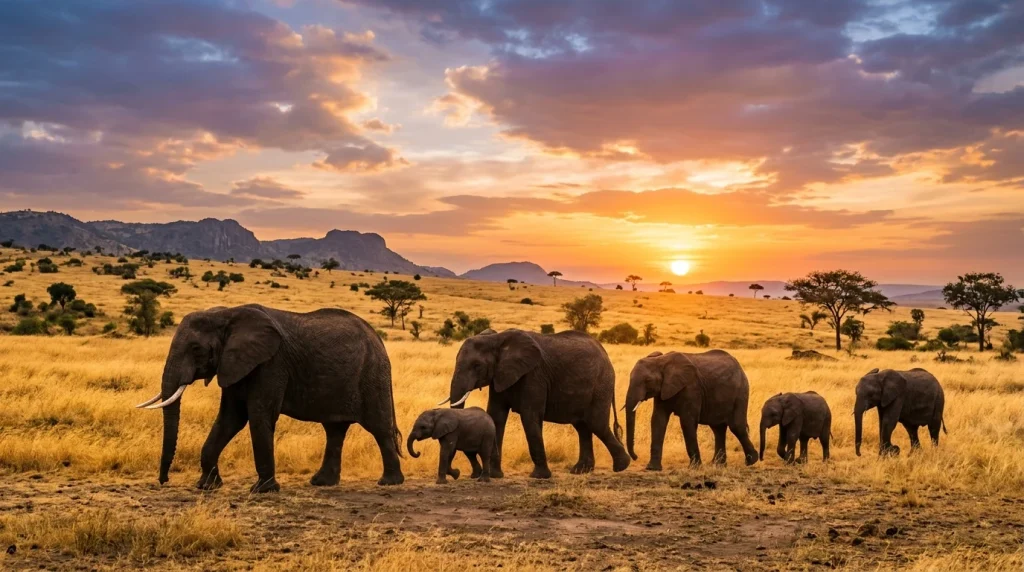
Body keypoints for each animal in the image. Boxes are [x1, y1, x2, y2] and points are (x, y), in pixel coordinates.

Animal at [135, 304, 404, 493]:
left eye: (196, 349)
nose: (163, 481)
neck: (225, 315)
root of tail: (378, 338)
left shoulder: (271, 363)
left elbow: (258, 415)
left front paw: (262, 490)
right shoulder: (234, 364)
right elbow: (230, 418)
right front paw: (206, 487)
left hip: (373, 375)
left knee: (379, 428)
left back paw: (389, 483)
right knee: (334, 430)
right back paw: (321, 483)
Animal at [440, 329, 631, 479]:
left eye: (477, 365)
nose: (456, 473)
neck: (497, 339)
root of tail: (605, 354)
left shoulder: (534, 375)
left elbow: (529, 417)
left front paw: (539, 477)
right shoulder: (499, 377)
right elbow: (496, 417)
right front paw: (496, 476)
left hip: (601, 384)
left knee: (596, 423)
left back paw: (621, 466)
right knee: (582, 426)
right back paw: (581, 470)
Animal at [626, 350, 758, 468]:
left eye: (648, 380)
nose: (635, 457)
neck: (661, 361)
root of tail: (739, 367)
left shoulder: (691, 388)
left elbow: (687, 422)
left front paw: (695, 467)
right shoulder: (662, 390)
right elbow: (658, 420)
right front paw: (652, 468)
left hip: (741, 392)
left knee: (736, 426)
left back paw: (751, 461)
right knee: (718, 429)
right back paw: (718, 465)